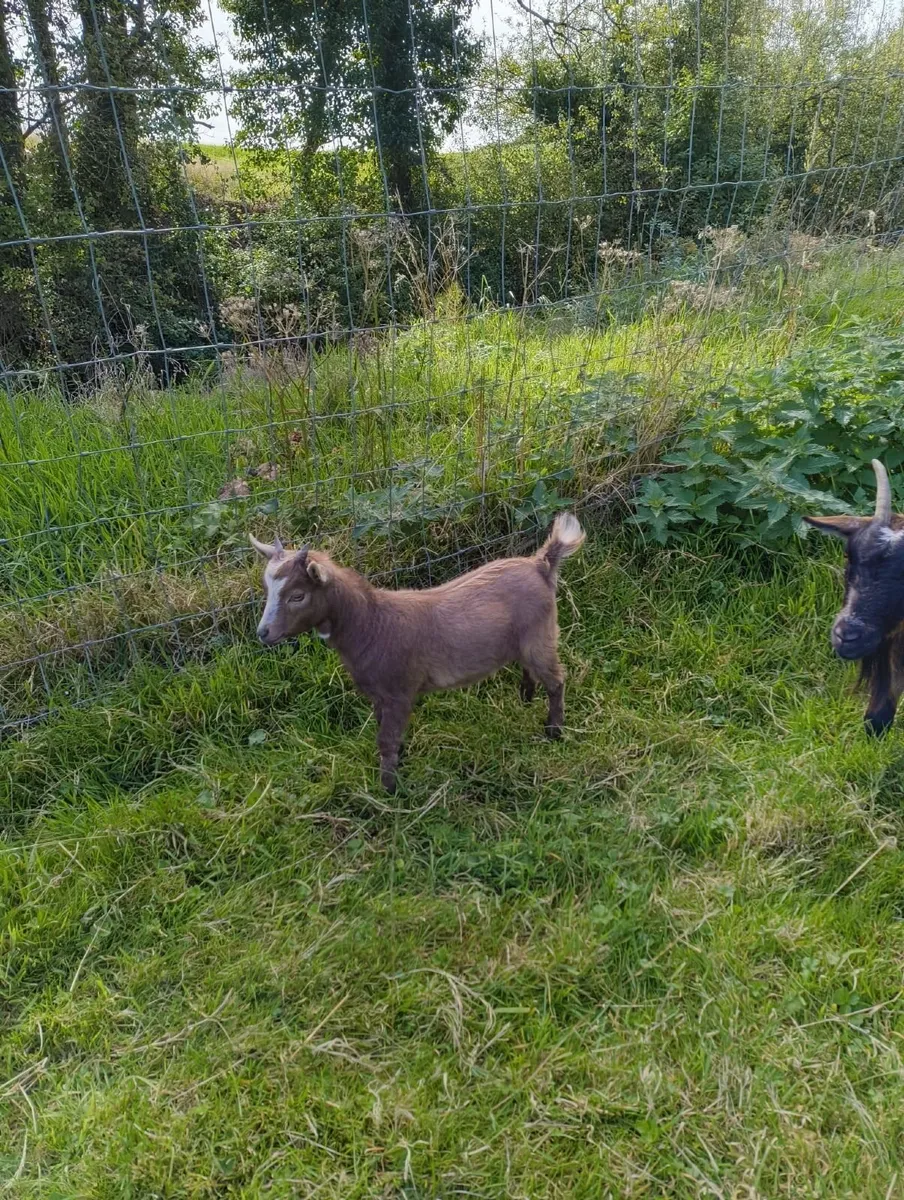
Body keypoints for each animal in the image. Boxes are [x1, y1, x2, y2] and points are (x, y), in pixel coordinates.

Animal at [250, 514, 585, 790]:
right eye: (267, 590)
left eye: (297, 596)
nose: (263, 633)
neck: (372, 623)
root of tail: (541, 563)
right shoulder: (380, 695)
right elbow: (387, 733)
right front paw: (400, 760)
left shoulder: (399, 691)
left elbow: (385, 739)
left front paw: (389, 789)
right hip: (525, 638)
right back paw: (526, 697)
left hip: (541, 635)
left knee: (556, 680)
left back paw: (553, 730)